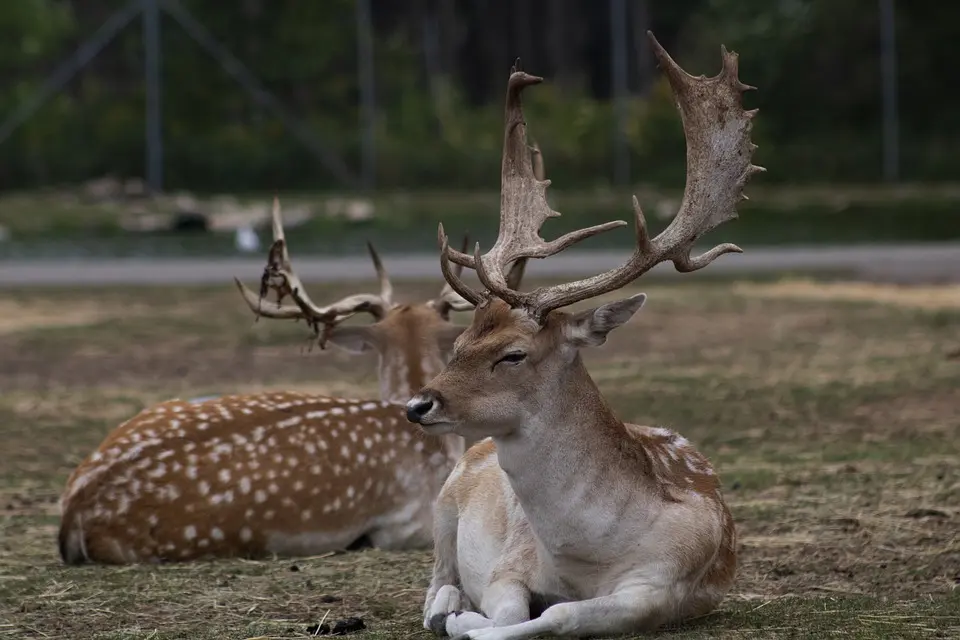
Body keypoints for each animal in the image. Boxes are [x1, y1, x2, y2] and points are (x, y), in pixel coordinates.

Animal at [404, 32, 764, 636]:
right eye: (457, 346)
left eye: (513, 354)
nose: (417, 404)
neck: (587, 554)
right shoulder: (509, 564)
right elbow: (508, 607)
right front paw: (462, 616)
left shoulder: (658, 589)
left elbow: (560, 615)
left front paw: (474, 622)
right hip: (445, 506)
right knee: (434, 580)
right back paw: (447, 604)